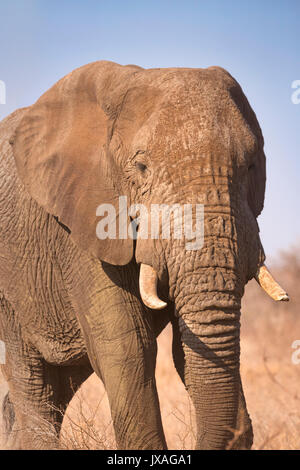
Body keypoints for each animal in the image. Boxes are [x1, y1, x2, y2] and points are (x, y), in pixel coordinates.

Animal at [0, 60, 288, 450]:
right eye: (141, 169)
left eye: (251, 167)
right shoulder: (84, 222)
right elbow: (128, 345)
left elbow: (187, 350)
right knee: (35, 382)